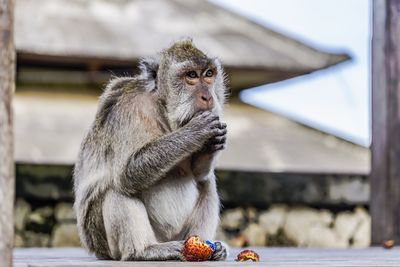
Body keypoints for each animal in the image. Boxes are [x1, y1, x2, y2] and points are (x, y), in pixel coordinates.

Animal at [72, 39, 228, 262]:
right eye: (191, 75)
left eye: (208, 74)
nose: (207, 97)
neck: (162, 107)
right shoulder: (129, 108)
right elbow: (127, 172)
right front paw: (196, 131)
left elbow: (200, 175)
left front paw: (213, 142)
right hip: (104, 242)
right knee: (116, 188)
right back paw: (143, 251)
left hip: (180, 236)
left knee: (207, 183)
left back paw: (209, 247)